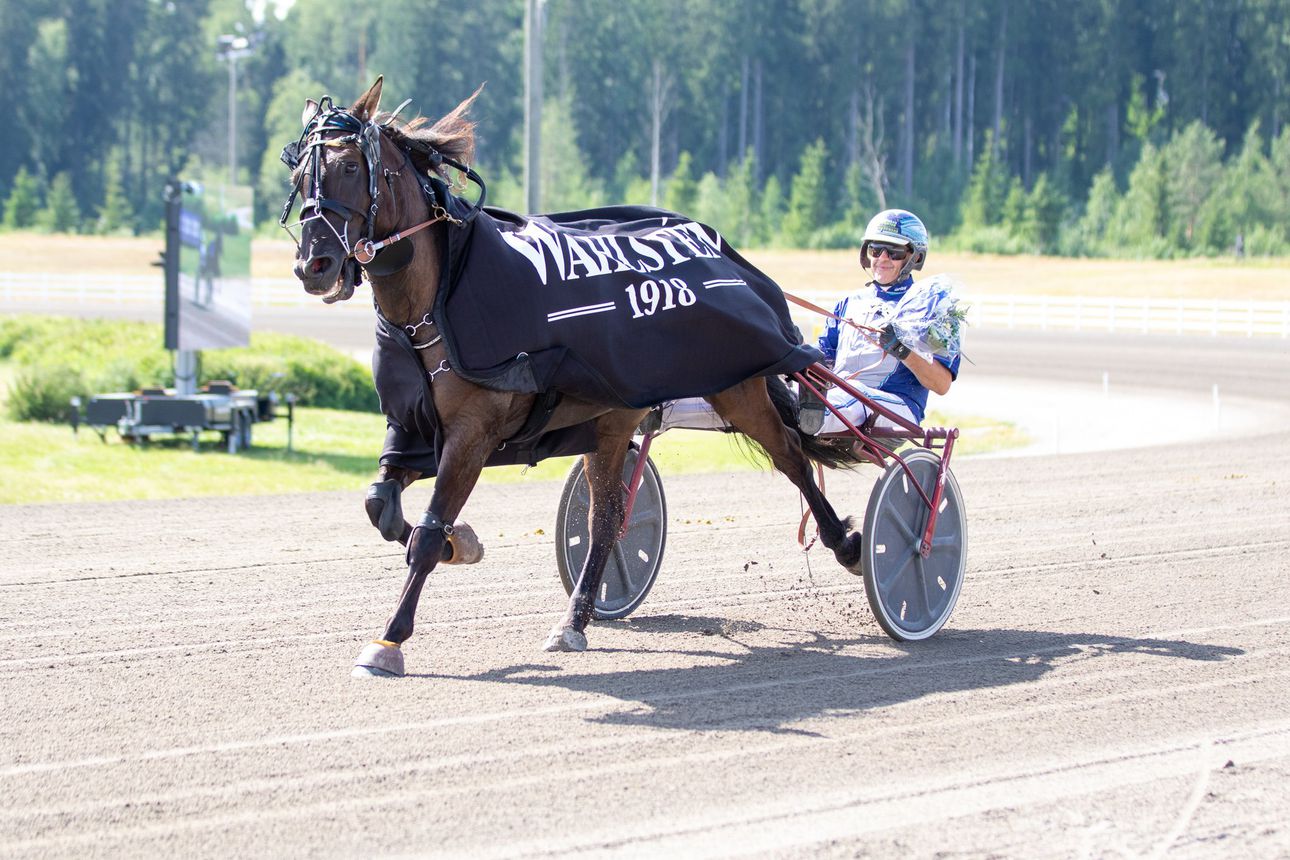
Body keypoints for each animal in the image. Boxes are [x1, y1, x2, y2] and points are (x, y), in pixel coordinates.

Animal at [287, 77, 861, 675]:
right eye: (298, 172)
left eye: (349, 166)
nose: (313, 266)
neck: (437, 300)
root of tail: (720, 250)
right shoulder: (409, 425)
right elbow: (381, 507)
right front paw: (461, 541)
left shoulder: (472, 435)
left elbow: (423, 535)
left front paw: (390, 639)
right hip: (611, 421)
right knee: (607, 518)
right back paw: (575, 619)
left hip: (737, 385)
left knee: (792, 458)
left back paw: (847, 545)